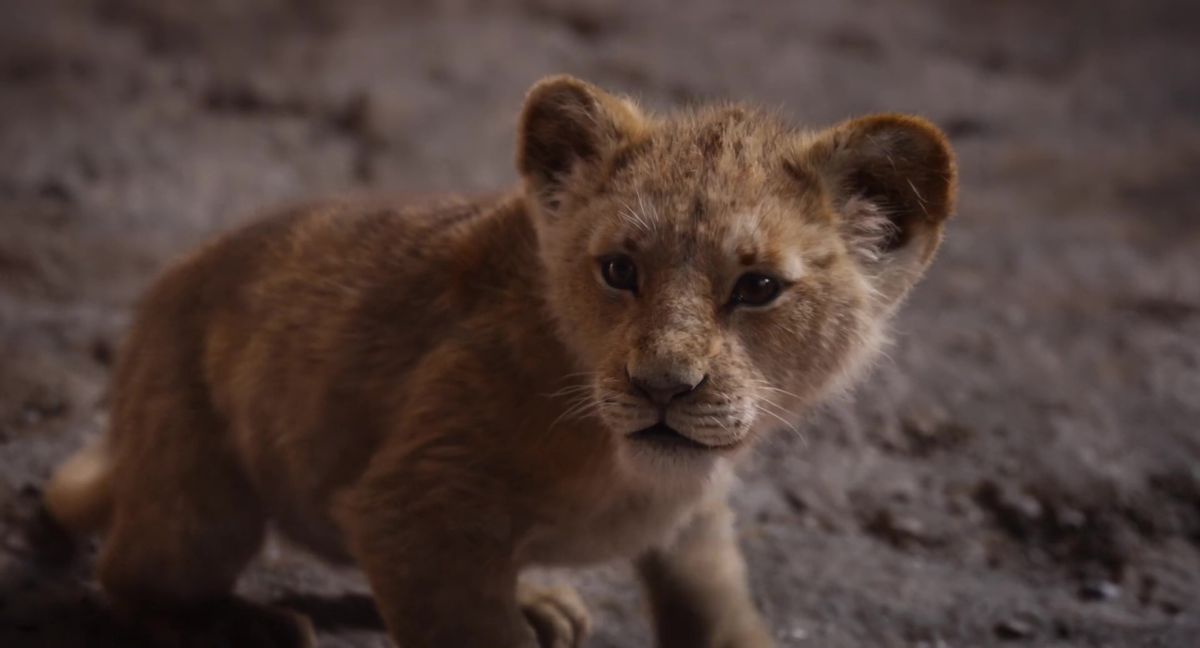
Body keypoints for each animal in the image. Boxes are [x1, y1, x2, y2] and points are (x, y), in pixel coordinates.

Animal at [44, 75, 956, 647]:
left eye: (758, 287)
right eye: (619, 270)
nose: (661, 387)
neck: (622, 467)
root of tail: (170, 279)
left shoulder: (694, 518)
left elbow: (717, 607)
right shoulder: (415, 506)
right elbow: (469, 625)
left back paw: (538, 600)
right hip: (200, 497)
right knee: (128, 579)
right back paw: (240, 627)